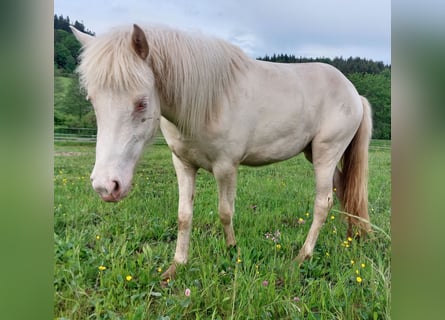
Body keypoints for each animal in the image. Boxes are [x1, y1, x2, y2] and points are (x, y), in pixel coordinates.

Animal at [70, 24, 372, 280]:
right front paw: (177, 265)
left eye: (142, 102)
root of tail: (354, 94)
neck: (210, 99)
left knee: (323, 203)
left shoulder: (226, 167)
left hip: (325, 155)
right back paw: (354, 235)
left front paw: (231, 249)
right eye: (92, 100)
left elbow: (225, 211)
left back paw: (303, 255)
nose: (106, 186)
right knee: (345, 188)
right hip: (317, 156)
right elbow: (184, 216)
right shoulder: (183, 164)